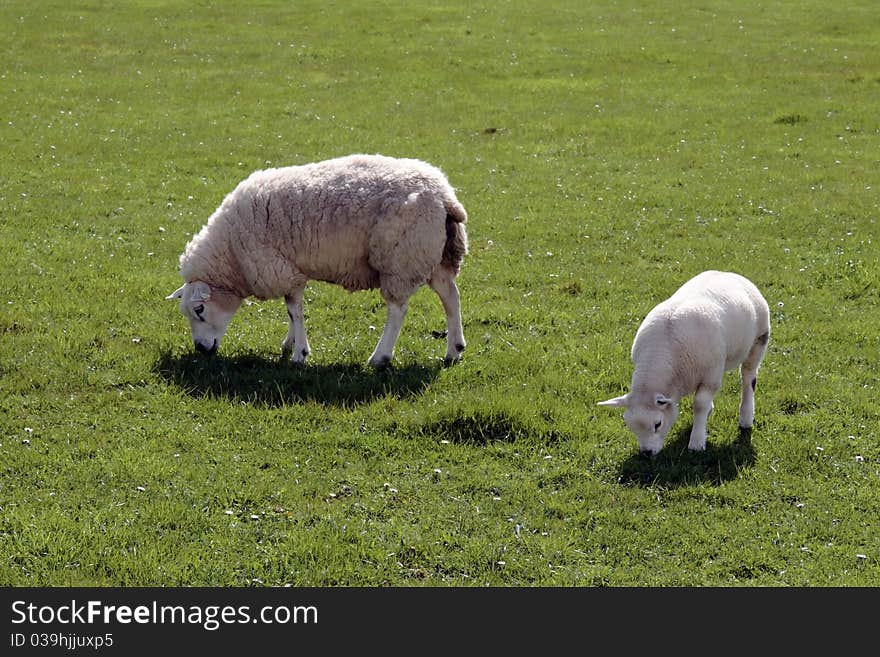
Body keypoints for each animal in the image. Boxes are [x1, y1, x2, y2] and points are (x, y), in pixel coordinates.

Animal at [165, 154, 468, 368]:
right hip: (434, 255)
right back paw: (454, 350)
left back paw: (380, 357)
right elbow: (291, 309)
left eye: (200, 310)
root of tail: (444, 196)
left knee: (398, 310)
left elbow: (294, 310)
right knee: (451, 297)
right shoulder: (290, 269)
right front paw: (289, 344)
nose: (200, 349)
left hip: (401, 258)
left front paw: (299, 353)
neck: (231, 256)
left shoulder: (280, 268)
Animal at [600, 270, 768, 454]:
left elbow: (700, 404)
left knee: (748, 378)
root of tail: (728, 273)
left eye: (658, 424)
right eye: (630, 426)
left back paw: (746, 417)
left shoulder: (711, 375)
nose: (646, 454)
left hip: (759, 339)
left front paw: (697, 442)